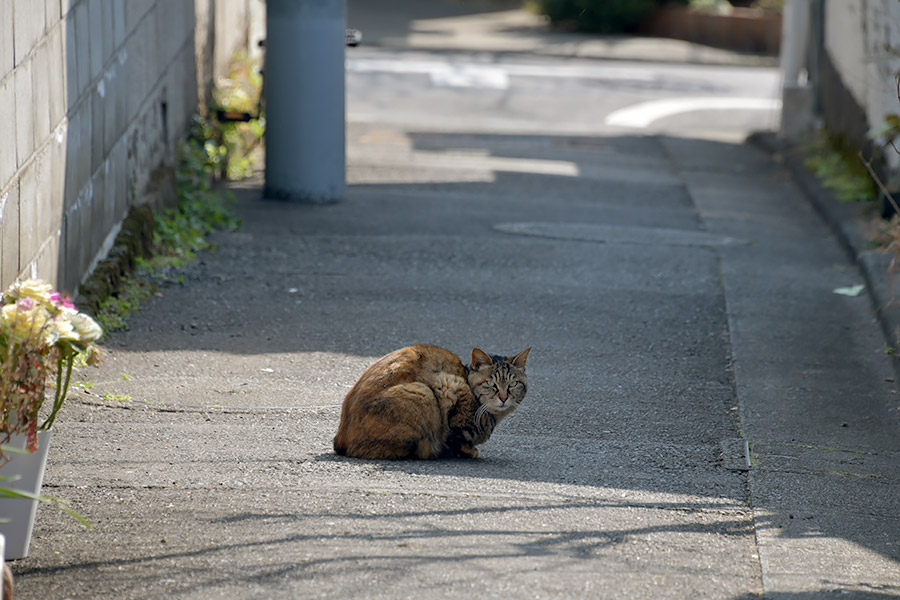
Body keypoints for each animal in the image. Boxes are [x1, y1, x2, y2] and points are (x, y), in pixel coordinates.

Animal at [334, 342, 532, 460]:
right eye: (491, 384)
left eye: (513, 384)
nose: (503, 398)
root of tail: (340, 439)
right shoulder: (450, 385)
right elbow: (457, 437)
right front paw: (468, 450)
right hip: (424, 393)